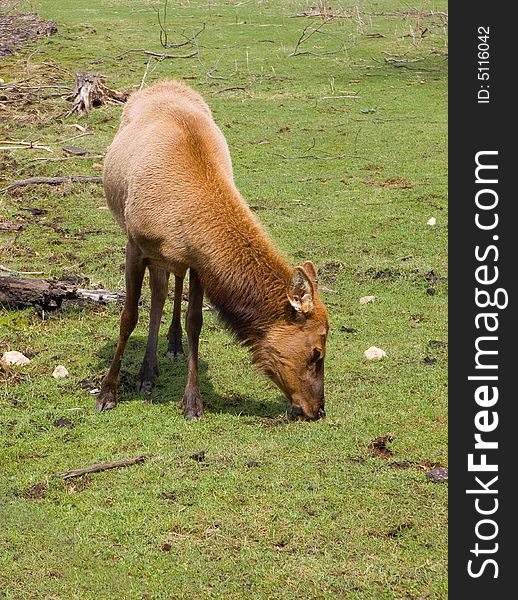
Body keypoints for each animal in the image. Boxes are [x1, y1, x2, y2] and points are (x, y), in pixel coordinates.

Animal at [97, 81, 332, 422]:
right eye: (316, 352)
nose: (318, 409)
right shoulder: (135, 245)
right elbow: (128, 316)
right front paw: (107, 393)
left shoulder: (198, 262)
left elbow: (195, 322)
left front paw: (193, 402)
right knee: (158, 294)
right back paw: (147, 373)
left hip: (172, 261)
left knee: (166, 290)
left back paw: (168, 350)